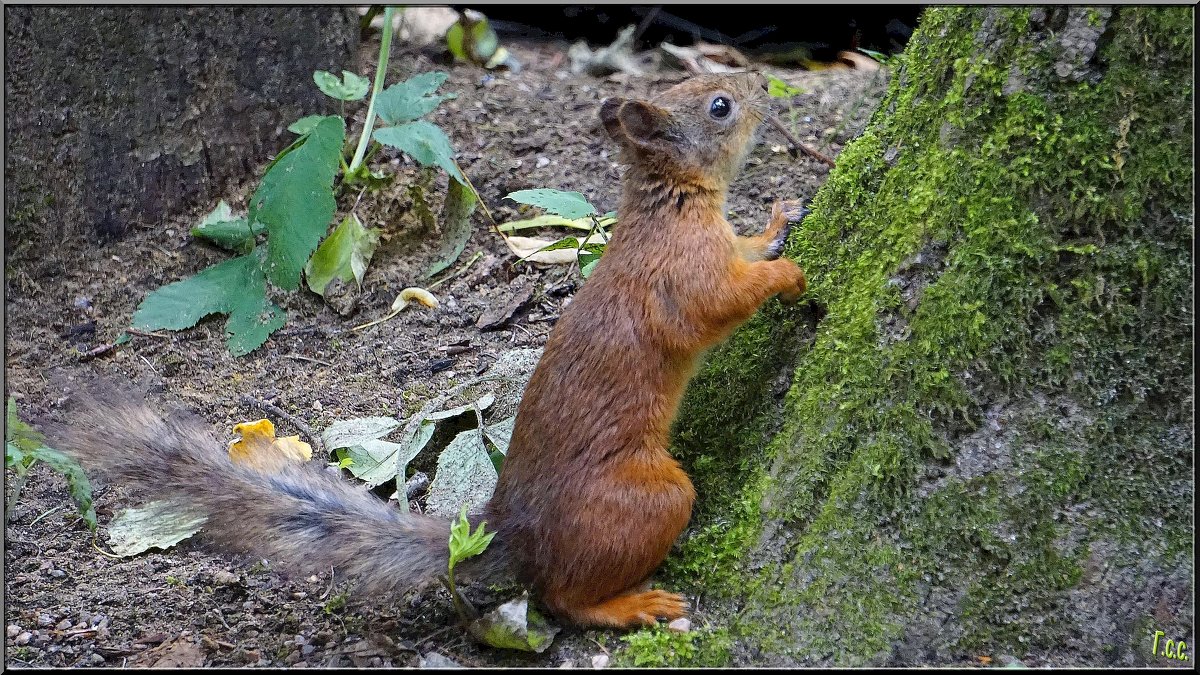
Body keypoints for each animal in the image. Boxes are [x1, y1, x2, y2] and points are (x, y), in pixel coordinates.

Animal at [54, 74, 806, 629]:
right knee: (563, 596)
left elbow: (745, 249)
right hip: (644, 499)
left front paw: (776, 222)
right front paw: (788, 274)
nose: (764, 88)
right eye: (719, 105)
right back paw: (629, 604)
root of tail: (511, 530)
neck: (671, 201)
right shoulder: (683, 273)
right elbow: (722, 300)